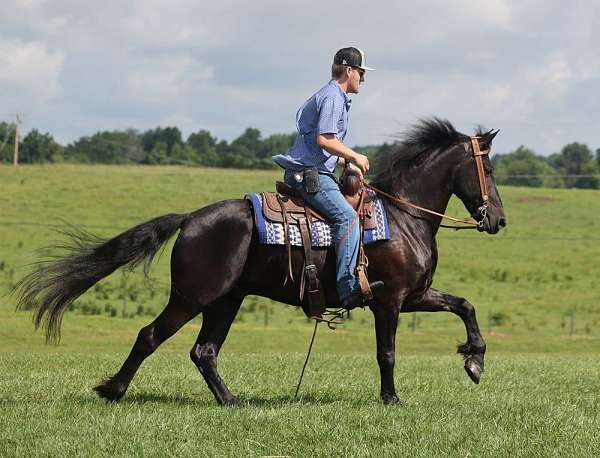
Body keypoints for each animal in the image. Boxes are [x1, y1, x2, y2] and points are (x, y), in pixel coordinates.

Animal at [16, 117, 506, 404]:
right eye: (489, 170)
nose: (498, 219)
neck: (404, 216)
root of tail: (191, 218)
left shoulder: (417, 295)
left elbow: (465, 306)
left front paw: (475, 361)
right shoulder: (389, 301)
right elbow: (386, 353)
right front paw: (392, 400)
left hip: (225, 300)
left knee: (204, 351)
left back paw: (231, 400)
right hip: (192, 297)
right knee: (150, 335)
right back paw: (113, 390)